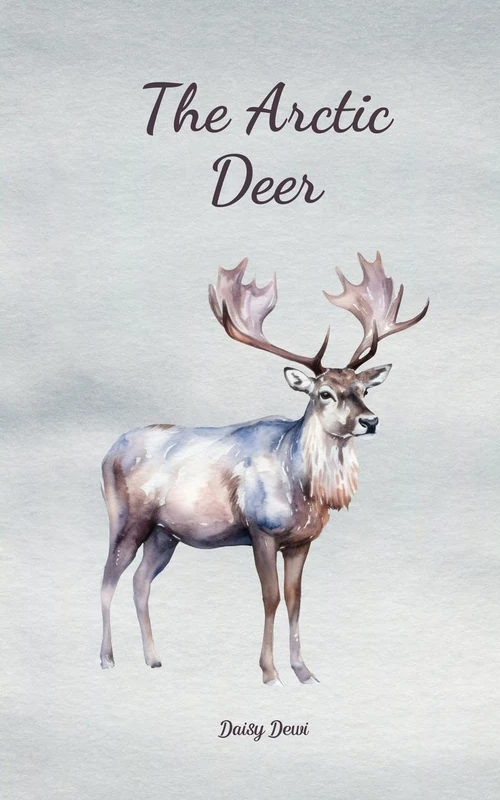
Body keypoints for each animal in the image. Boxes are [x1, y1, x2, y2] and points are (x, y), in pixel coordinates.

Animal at [99, 251, 428, 684]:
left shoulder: (302, 540)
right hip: (127, 518)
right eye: (324, 393)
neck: (302, 488)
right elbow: (270, 597)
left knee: (140, 581)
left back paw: (153, 658)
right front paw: (270, 672)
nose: (370, 421)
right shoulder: (261, 529)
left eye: (363, 389)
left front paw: (305, 672)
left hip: (165, 534)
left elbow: (295, 599)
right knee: (108, 579)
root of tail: (107, 453)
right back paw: (106, 658)